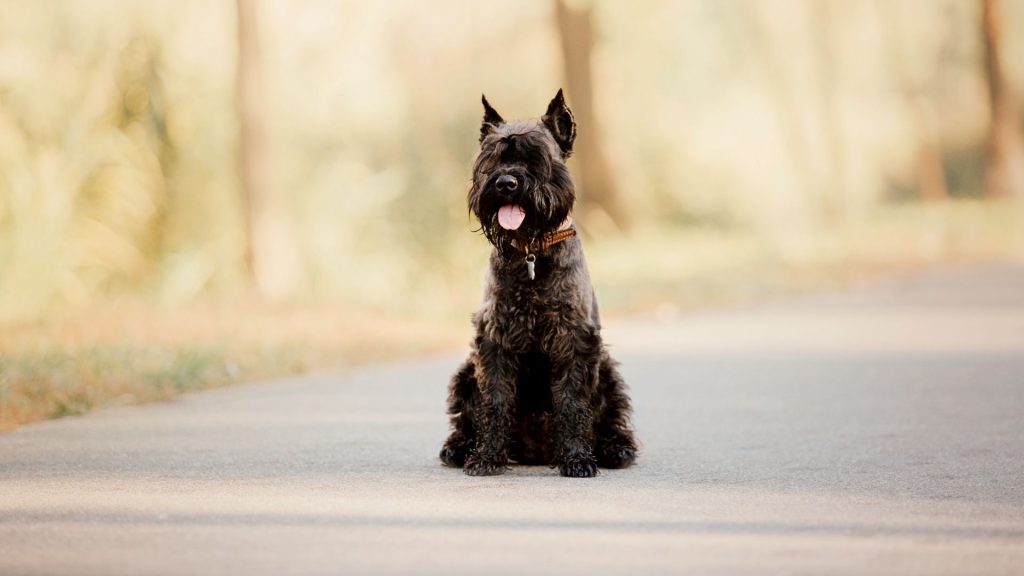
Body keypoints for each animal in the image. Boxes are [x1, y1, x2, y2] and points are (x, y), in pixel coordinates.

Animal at [442, 89, 638, 475]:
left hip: (608, 371)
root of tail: (536, 451)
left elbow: (573, 402)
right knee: (465, 418)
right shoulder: (494, 341)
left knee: (611, 417)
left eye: (536, 156)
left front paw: (577, 458)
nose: (505, 183)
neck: (531, 252)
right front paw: (487, 456)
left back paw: (614, 449)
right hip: (465, 373)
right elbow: (495, 401)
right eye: (492, 157)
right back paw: (458, 448)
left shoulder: (574, 341)